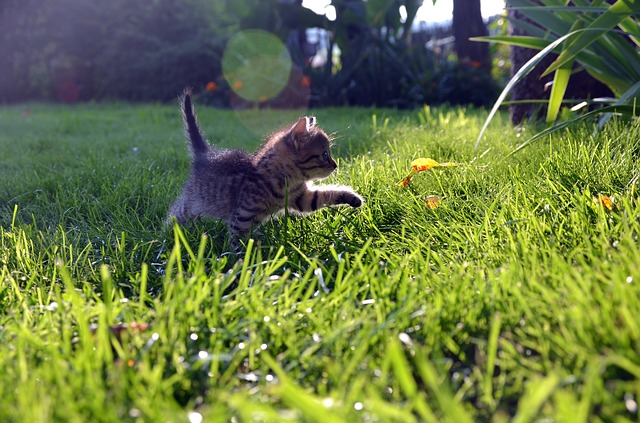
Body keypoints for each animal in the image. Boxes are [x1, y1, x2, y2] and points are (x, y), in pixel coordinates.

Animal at [168, 89, 362, 238]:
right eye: (324, 154)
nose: (335, 165)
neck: (286, 180)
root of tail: (205, 153)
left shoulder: (302, 198)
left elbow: (326, 194)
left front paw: (353, 198)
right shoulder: (241, 218)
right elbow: (238, 243)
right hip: (193, 202)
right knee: (177, 212)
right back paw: (168, 233)